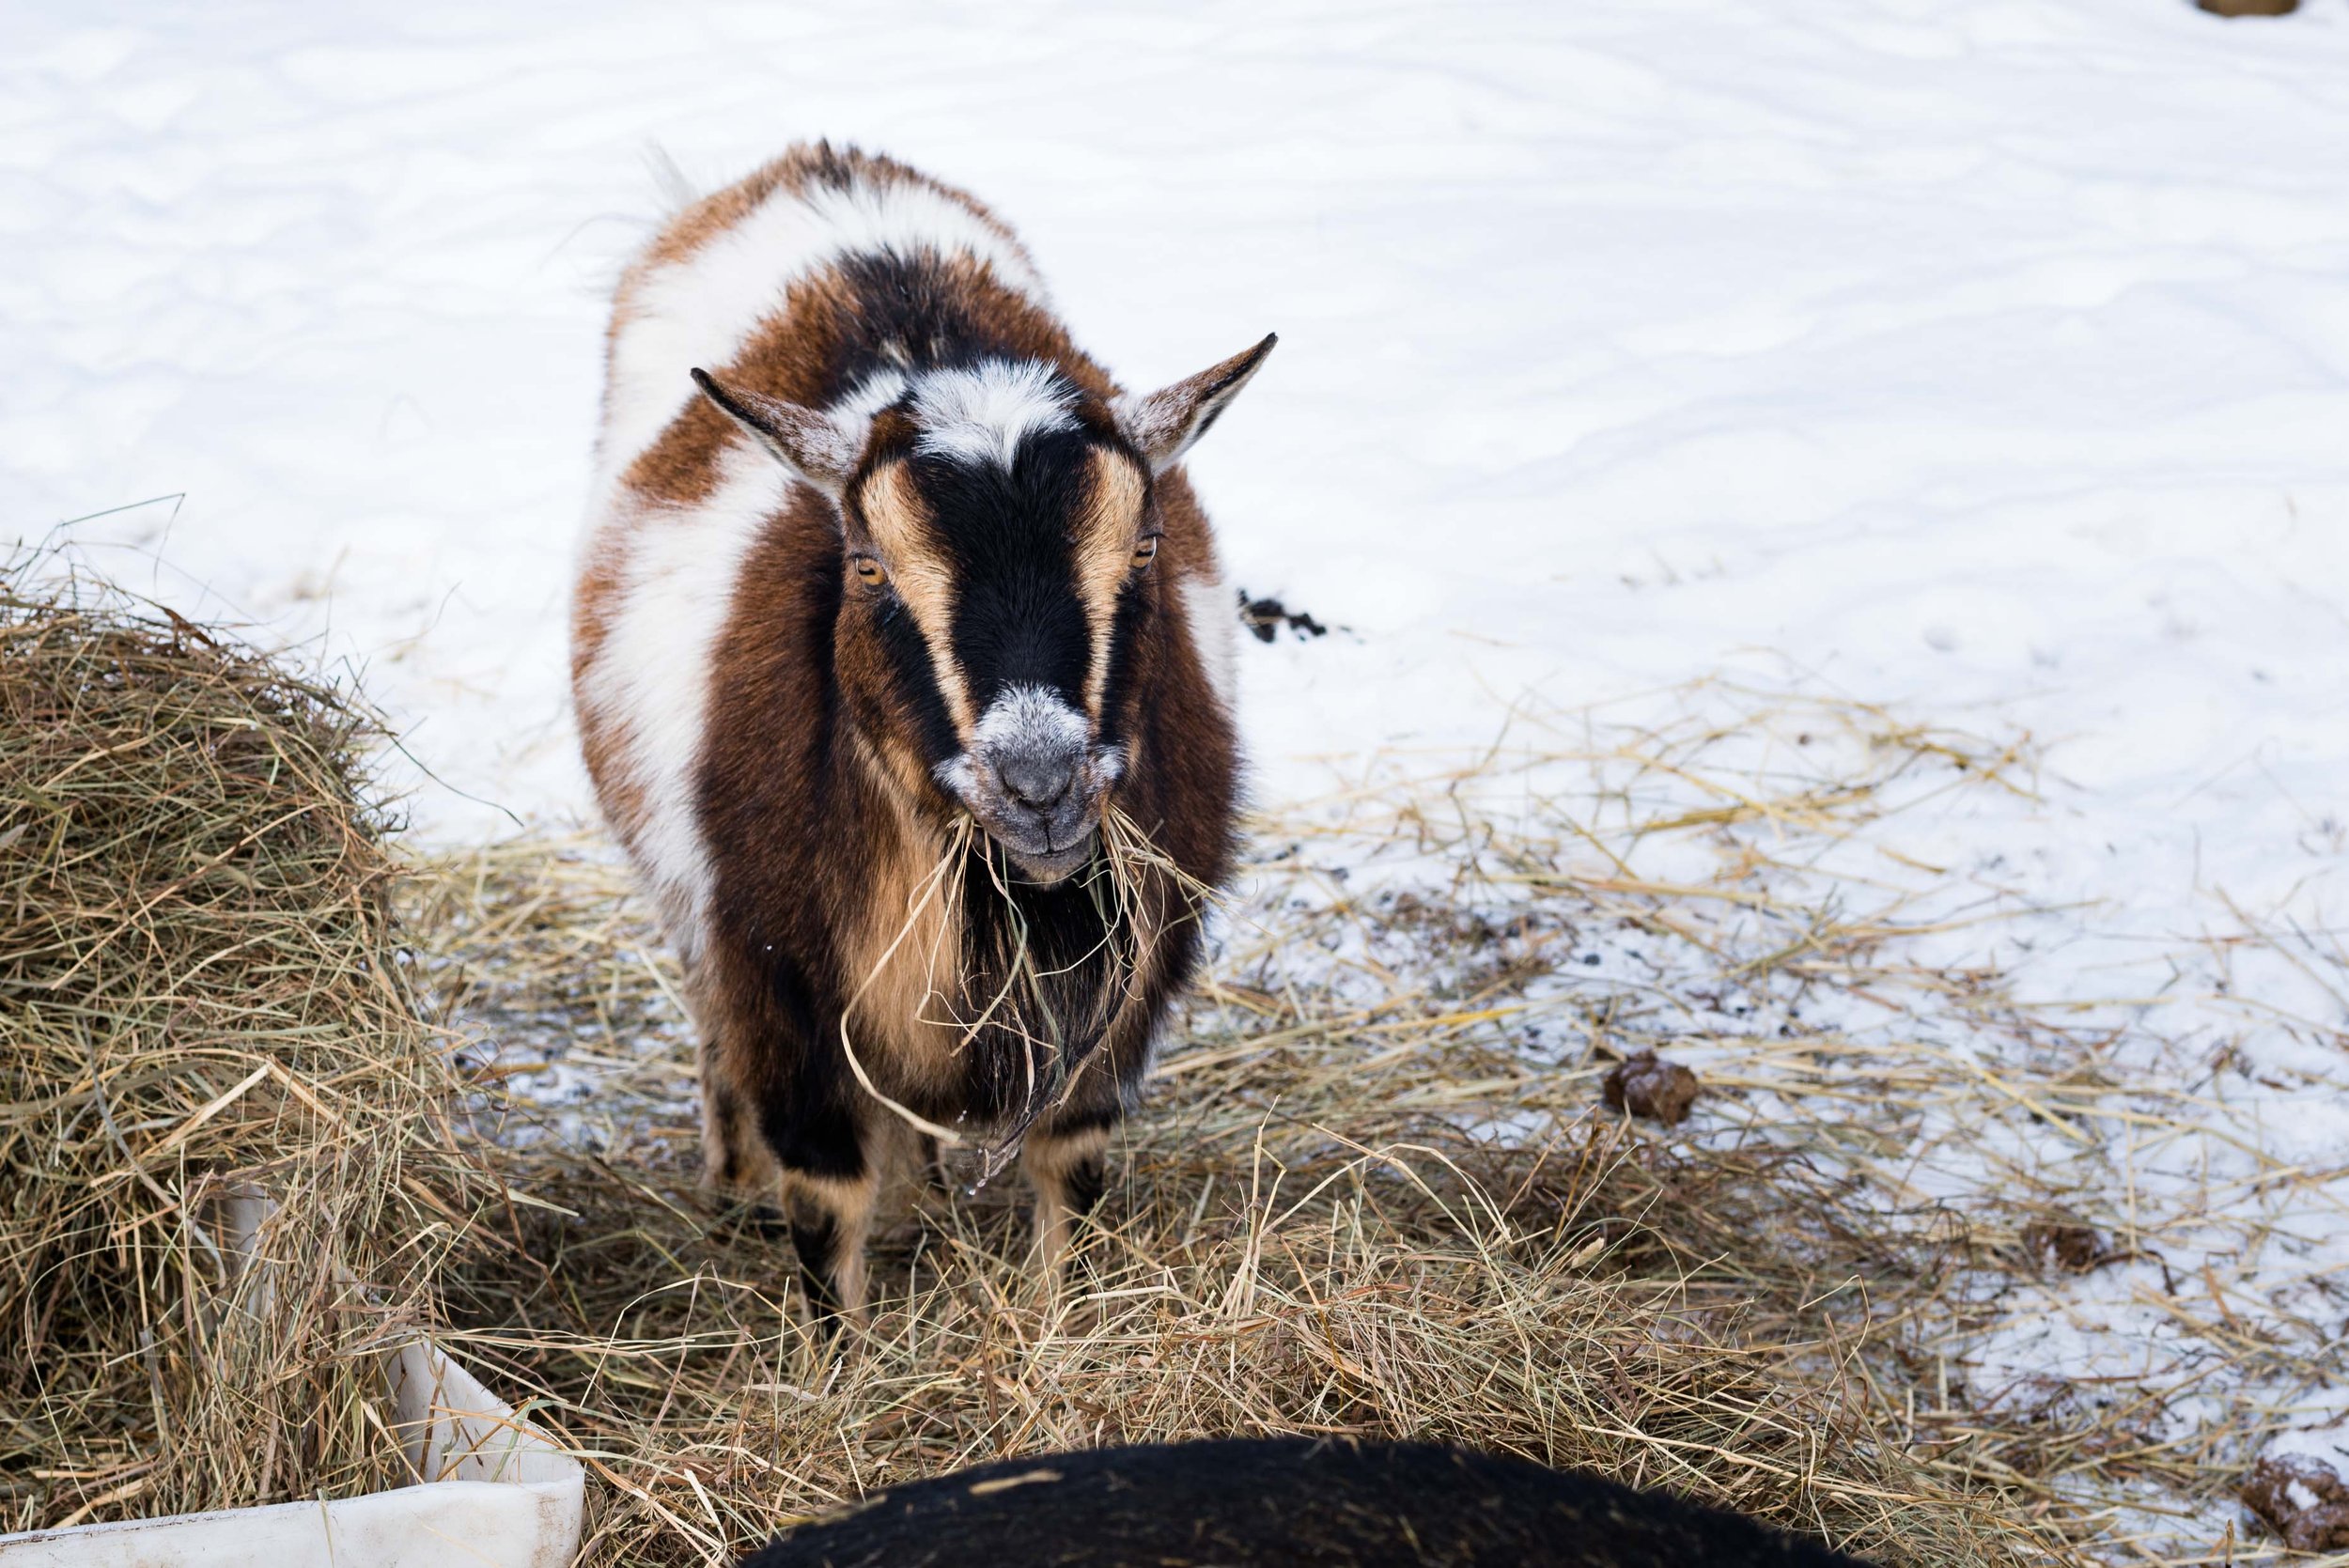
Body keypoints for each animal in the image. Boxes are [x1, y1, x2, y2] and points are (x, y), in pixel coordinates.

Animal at [568, 144, 1268, 1324]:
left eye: (1143, 549)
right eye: (868, 567)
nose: (1038, 779)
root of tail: (811, 164)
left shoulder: (1121, 994)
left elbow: (1069, 1166)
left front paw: (1058, 1327)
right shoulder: (784, 991)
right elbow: (824, 1200)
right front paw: (840, 1354)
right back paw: (736, 1185)